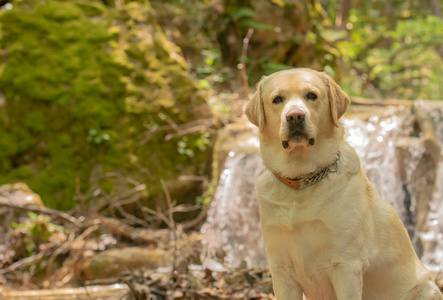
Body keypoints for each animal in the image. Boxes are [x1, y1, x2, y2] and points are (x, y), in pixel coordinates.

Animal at [245, 68, 442, 300]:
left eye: (311, 95)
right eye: (277, 99)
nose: (294, 116)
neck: (302, 179)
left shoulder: (346, 265)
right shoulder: (282, 269)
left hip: (425, 289)